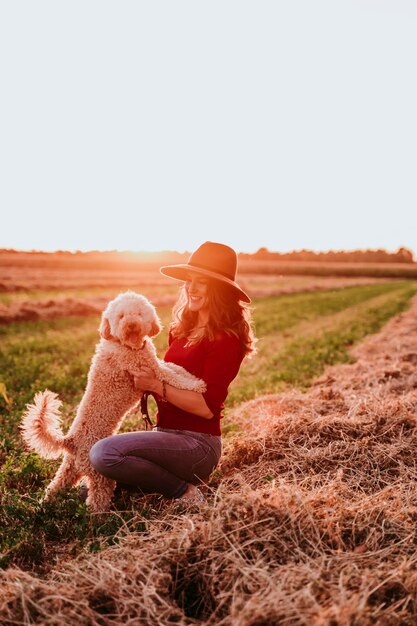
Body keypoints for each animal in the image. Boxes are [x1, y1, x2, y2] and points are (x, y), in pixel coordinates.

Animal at [21, 290, 206, 510]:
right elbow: (172, 376)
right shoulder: (150, 370)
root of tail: (71, 441)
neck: (127, 345)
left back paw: (41, 508)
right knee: (96, 502)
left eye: (139, 313)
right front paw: (197, 385)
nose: (132, 325)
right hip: (100, 477)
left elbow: (175, 368)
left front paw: (192, 377)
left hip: (69, 469)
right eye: (121, 316)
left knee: (54, 487)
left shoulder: (154, 364)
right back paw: (101, 518)